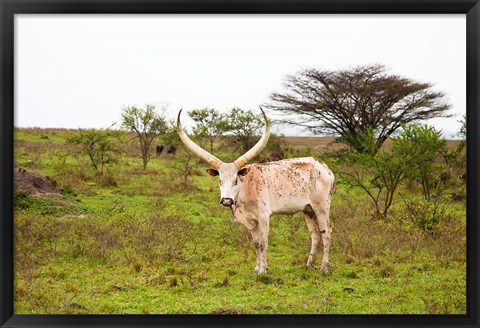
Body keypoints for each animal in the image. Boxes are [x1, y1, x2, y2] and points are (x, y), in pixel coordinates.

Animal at [176, 106, 334, 272]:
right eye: (220, 180)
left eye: (236, 180)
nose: (226, 200)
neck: (245, 191)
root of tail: (324, 167)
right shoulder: (251, 221)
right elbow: (257, 244)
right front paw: (257, 269)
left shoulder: (264, 217)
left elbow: (264, 243)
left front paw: (263, 270)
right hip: (308, 210)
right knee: (315, 235)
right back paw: (309, 264)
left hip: (322, 208)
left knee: (327, 233)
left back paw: (324, 268)